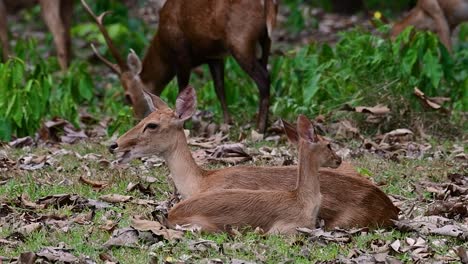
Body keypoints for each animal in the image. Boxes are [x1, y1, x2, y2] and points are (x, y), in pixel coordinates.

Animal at [80, 0, 278, 132]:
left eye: (127, 97)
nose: (138, 120)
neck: (164, 50)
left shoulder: (181, 55)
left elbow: (182, 90)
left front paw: (183, 123)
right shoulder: (214, 56)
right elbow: (219, 88)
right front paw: (227, 123)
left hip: (240, 40)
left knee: (264, 78)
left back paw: (259, 129)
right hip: (265, 39)